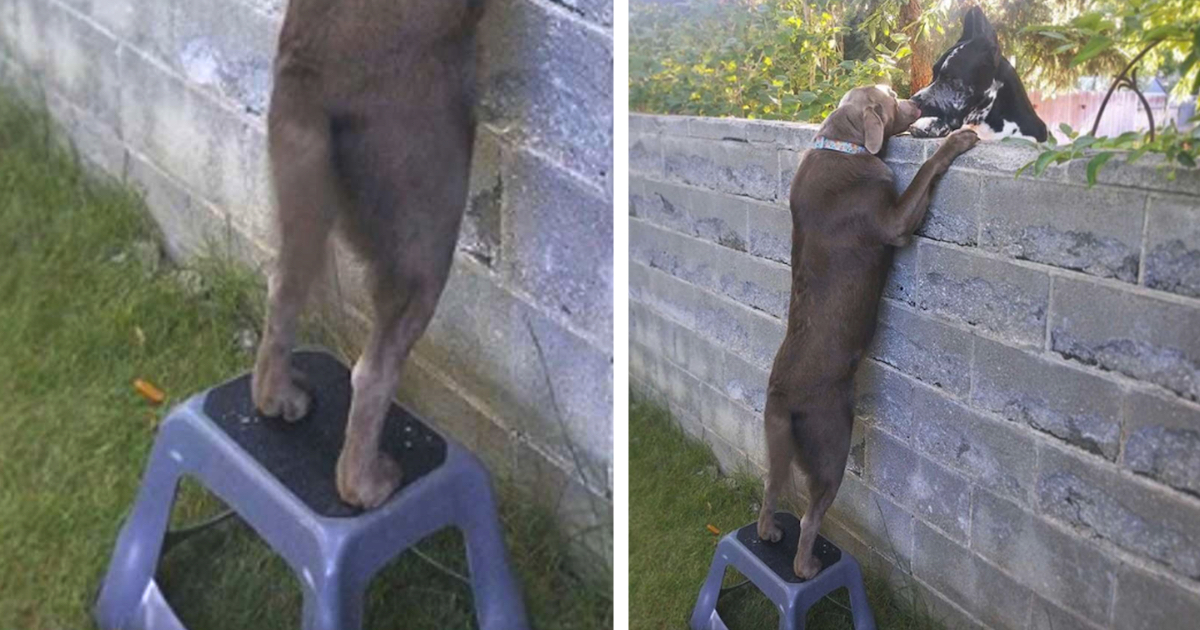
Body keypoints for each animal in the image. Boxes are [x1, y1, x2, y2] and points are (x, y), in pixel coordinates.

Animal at [252, 0, 482, 508]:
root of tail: (312, 79)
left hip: (301, 197)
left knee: (281, 295)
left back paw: (277, 397)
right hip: (425, 239)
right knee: (373, 372)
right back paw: (366, 484)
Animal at [753, 85, 979, 578]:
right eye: (892, 98)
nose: (917, 101)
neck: (843, 142)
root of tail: (781, 396)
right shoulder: (894, 222)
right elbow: (926, 172)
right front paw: (957, 139)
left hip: (778, 445)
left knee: (771, 488)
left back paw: (769, 532)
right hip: (832, 442)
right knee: (811, 515)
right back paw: (806, 567)